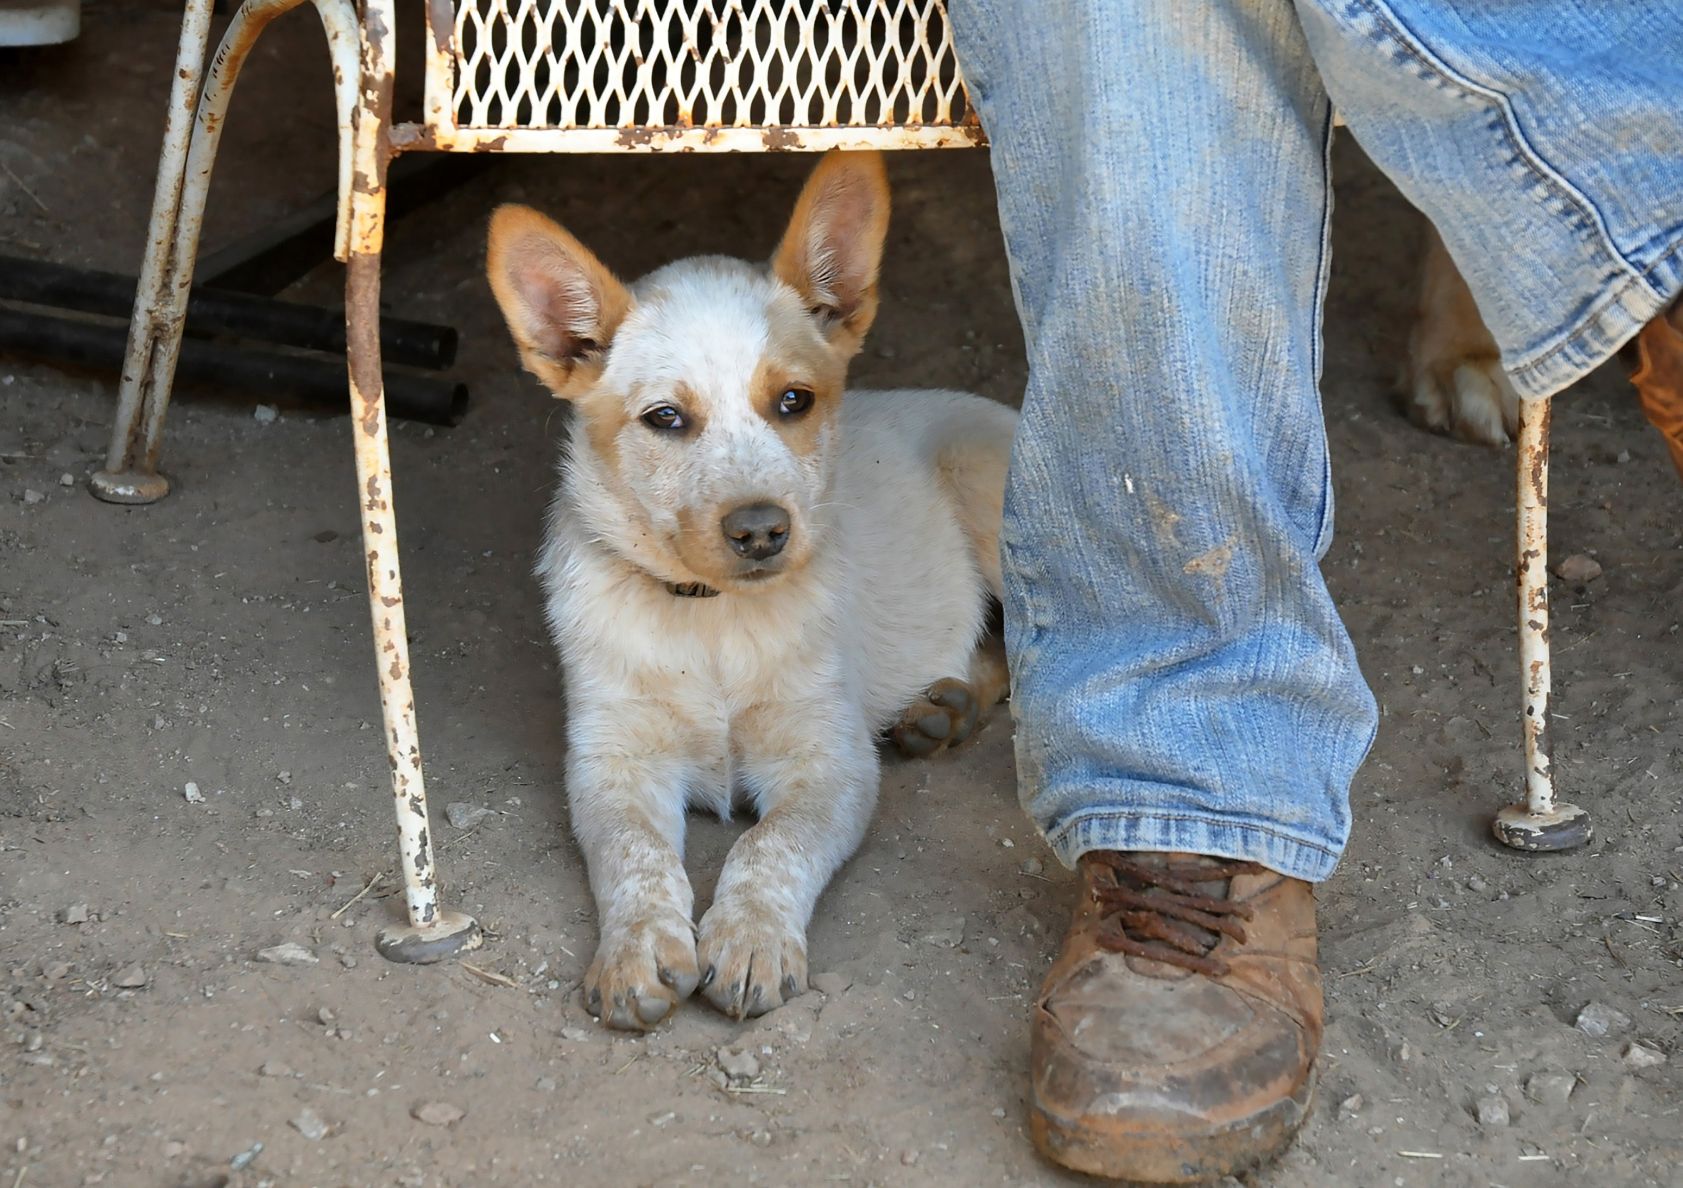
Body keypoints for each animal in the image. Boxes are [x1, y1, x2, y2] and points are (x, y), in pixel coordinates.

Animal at [484, 153, 1009, 1029]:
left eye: (793, 400)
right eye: (665, 418)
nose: (763, 530)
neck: (711, 622)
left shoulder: (828, 761)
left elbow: (769, 848)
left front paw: (753, 940)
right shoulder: (609, 760)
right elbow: (633, 854)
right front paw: (636, 950)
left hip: (989, 495)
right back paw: (943, 710)